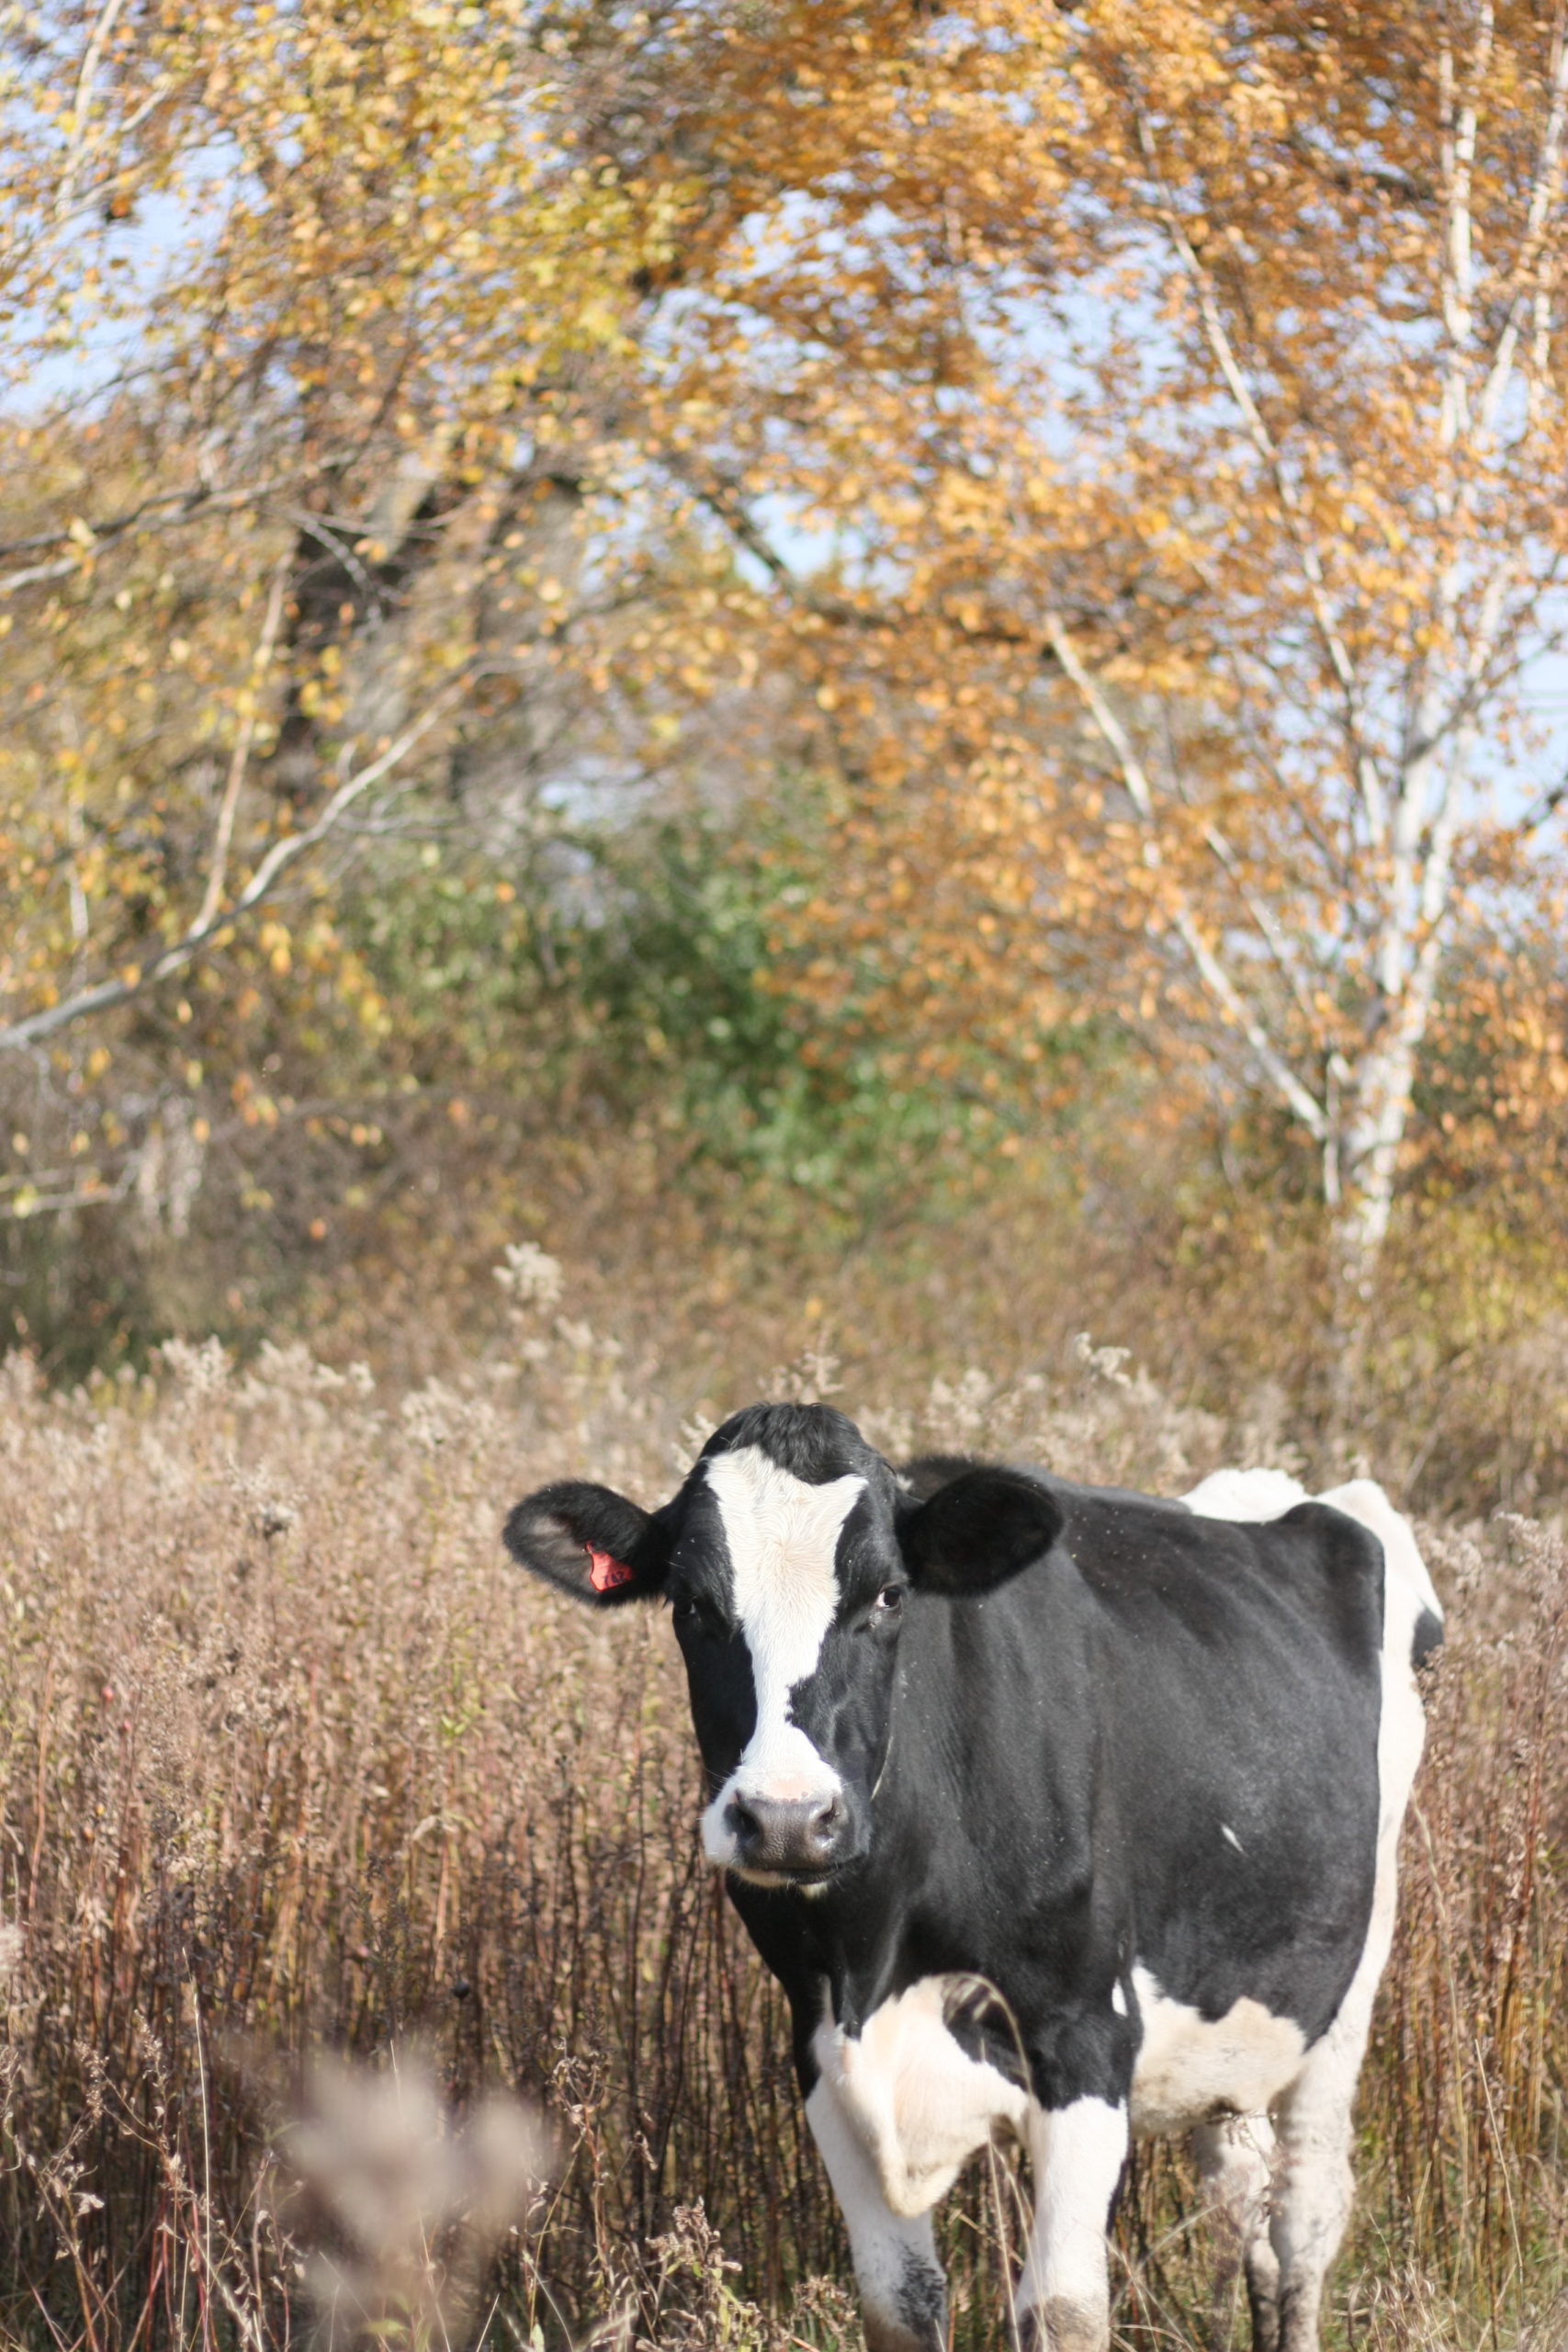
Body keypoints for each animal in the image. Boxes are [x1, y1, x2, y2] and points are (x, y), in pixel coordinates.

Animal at [504, 1403, 1443, 2352]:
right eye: (692, 1604)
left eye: (887, 1595)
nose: (786, 1818)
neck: (879, 1945)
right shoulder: (819, 2048)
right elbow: (900, 2305)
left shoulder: (1084, 2035)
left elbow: (1062, 2309)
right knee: (1237, 2204)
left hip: (1346, 1989)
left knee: (1303, 2221)